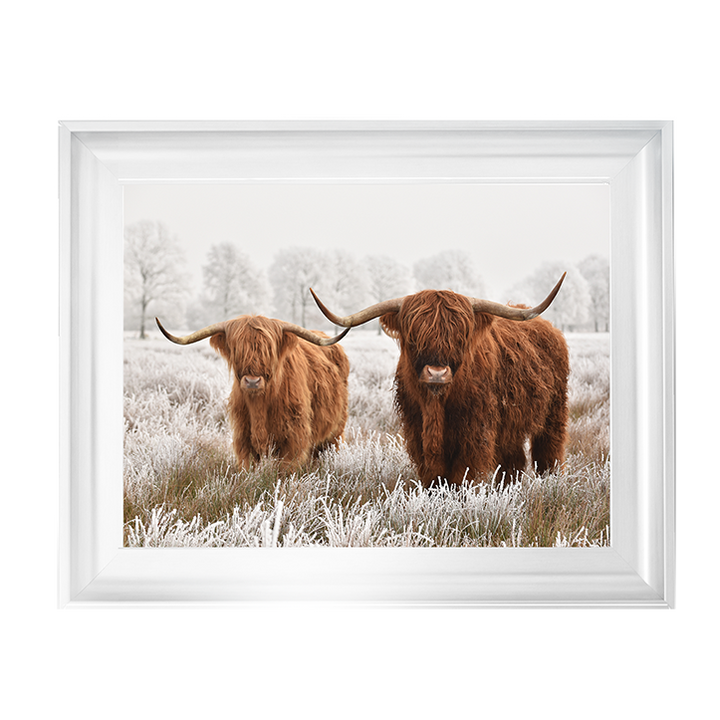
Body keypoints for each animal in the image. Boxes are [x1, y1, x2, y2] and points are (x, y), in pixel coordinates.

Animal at [155, 315, 350, 473]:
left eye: (269, 350)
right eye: (237, 349)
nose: (252, 381)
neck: (260, 405)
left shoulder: (294, 438)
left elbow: (285, 471)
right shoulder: (243, 437)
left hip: (336, 431)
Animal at [310, 274, 568, 487]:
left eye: (460, 337)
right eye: (413, 337)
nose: (436, 373)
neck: (436, 406)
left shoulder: (475, 433)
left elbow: (462, 476)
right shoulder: (416, 430)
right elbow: (433, 477)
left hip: (554, 413)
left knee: (548, 452)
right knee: (513, 461)